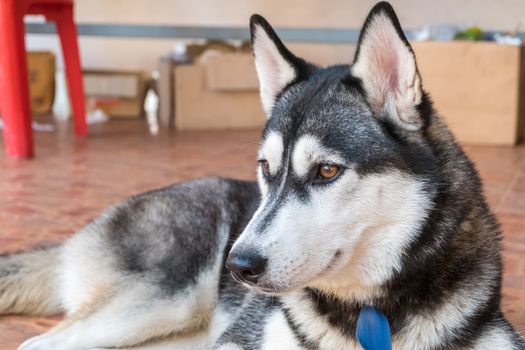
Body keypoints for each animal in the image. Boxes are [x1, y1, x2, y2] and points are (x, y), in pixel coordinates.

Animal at [1, 2, 524, 350]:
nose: (239, 267)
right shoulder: (237, 340)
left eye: (326, 171)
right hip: (163, 300)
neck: (367, 314)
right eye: (266, 170)